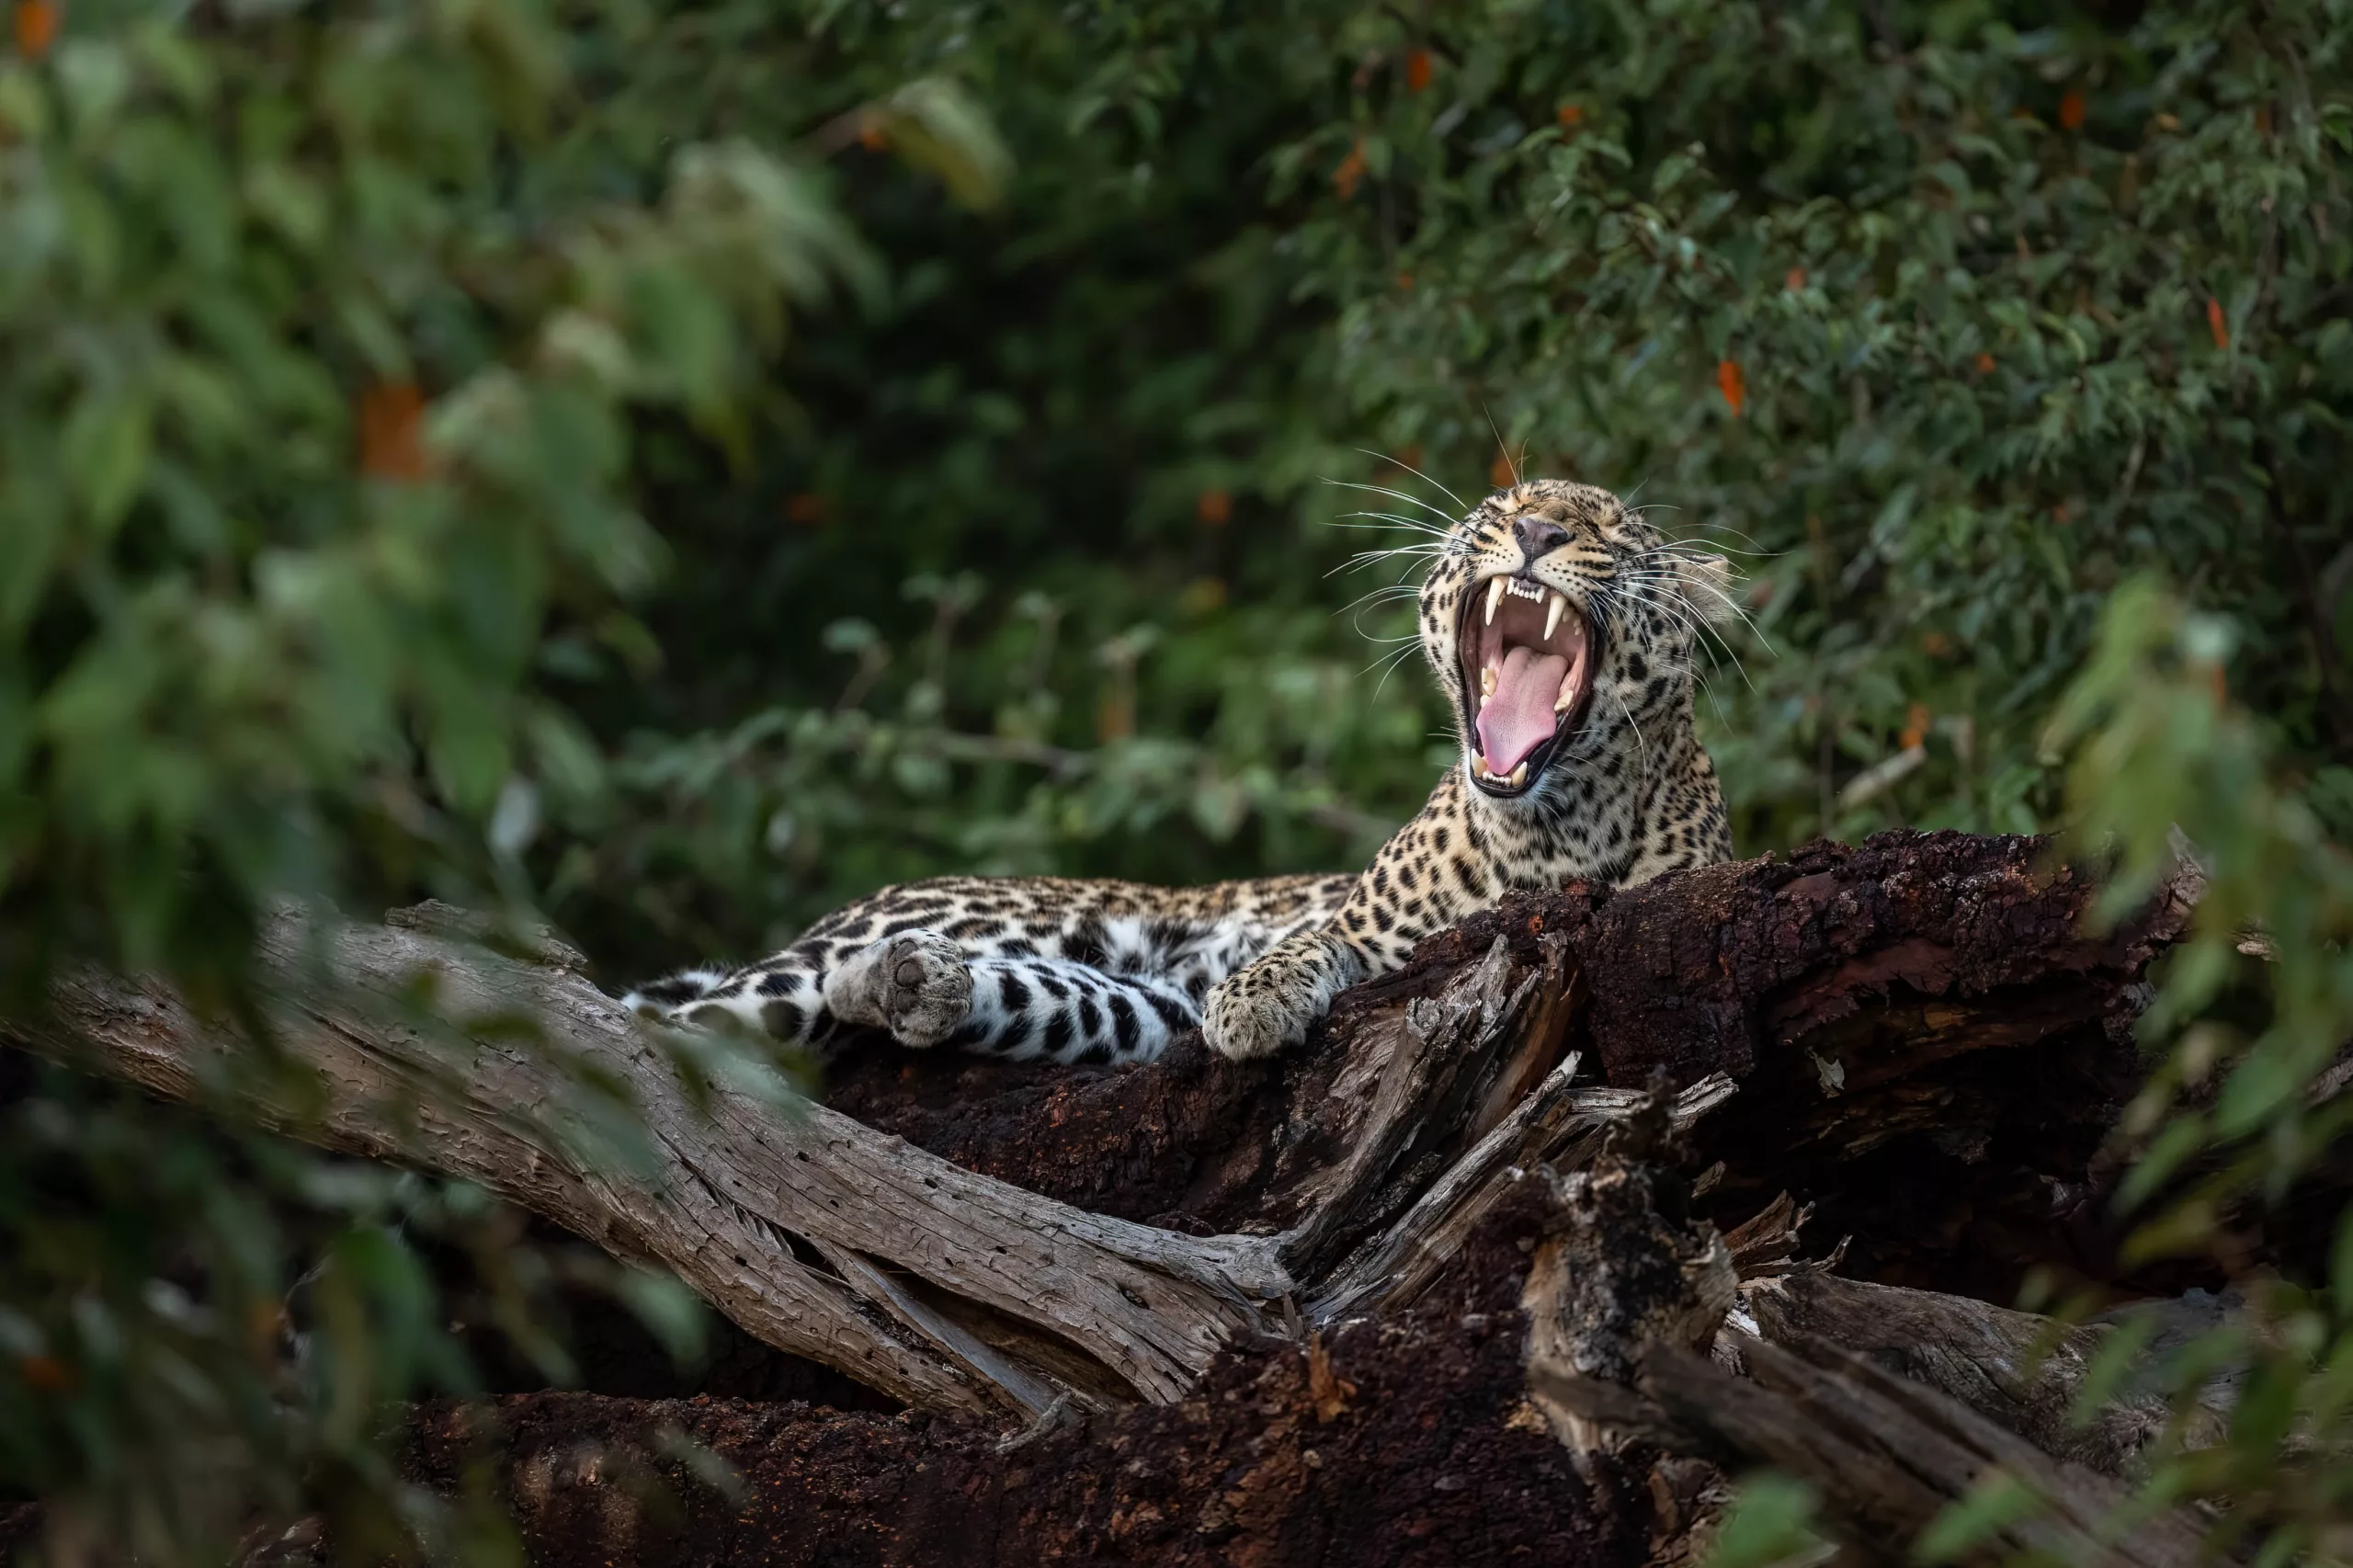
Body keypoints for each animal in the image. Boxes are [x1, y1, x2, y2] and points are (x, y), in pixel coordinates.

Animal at [620, 475, 1732, 1063]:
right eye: (1503, 504)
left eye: (1611, 532)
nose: (1538, 530)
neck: (1548, 828)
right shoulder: (1352, 925)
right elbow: (1302, 944)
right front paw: (1256, 1002)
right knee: (661, 1023)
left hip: (1122, 1004)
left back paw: (913, 988)